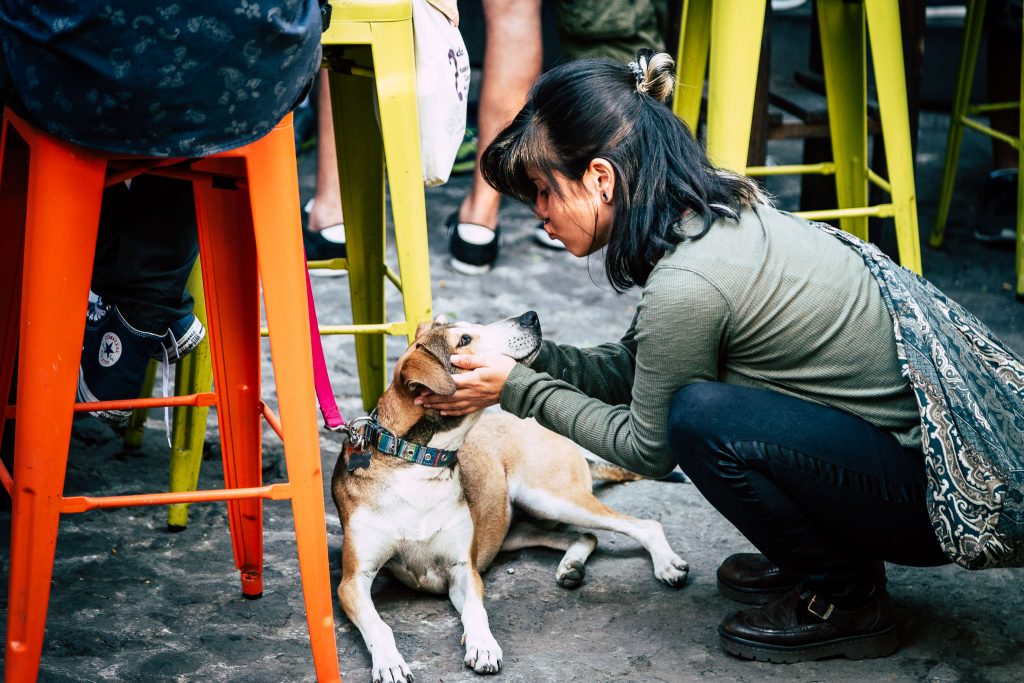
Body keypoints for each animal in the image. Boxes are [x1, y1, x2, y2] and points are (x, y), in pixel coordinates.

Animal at [331, 313, 692, 679]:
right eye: (464, 340)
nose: (530, 316)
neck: (417, 461)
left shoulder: (464, 570)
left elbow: (476, 611)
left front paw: (483, 646)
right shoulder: (352, 581)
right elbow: (379, 625)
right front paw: (389, 663)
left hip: (552, 497)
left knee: (642, 525)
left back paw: (666, 565)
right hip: (517, 529)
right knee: (586, 536)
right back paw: (571, 566)